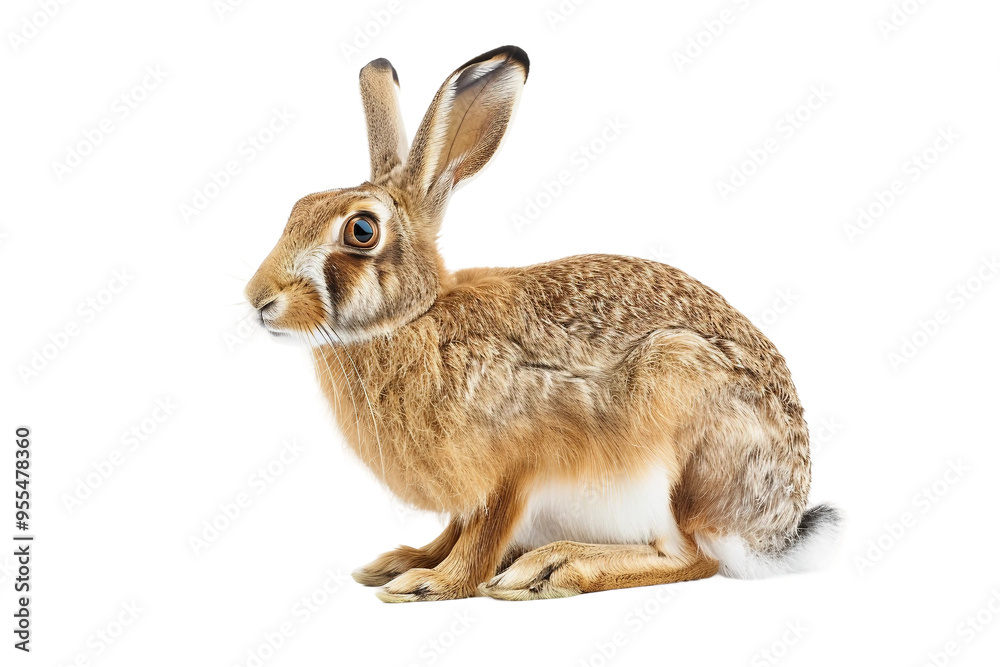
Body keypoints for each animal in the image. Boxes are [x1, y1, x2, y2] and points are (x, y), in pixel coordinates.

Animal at [244, 45, 841, 602]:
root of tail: (775, 533)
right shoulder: (472, 494)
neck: (418, 317)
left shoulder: (516, 466)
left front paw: (429, 584)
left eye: (361, 231)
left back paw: (554, 567)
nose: (258, 300)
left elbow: (481, 539)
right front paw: (402, 563)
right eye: (298, 207)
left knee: (692, 557)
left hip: (681, 421)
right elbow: (455, 531)